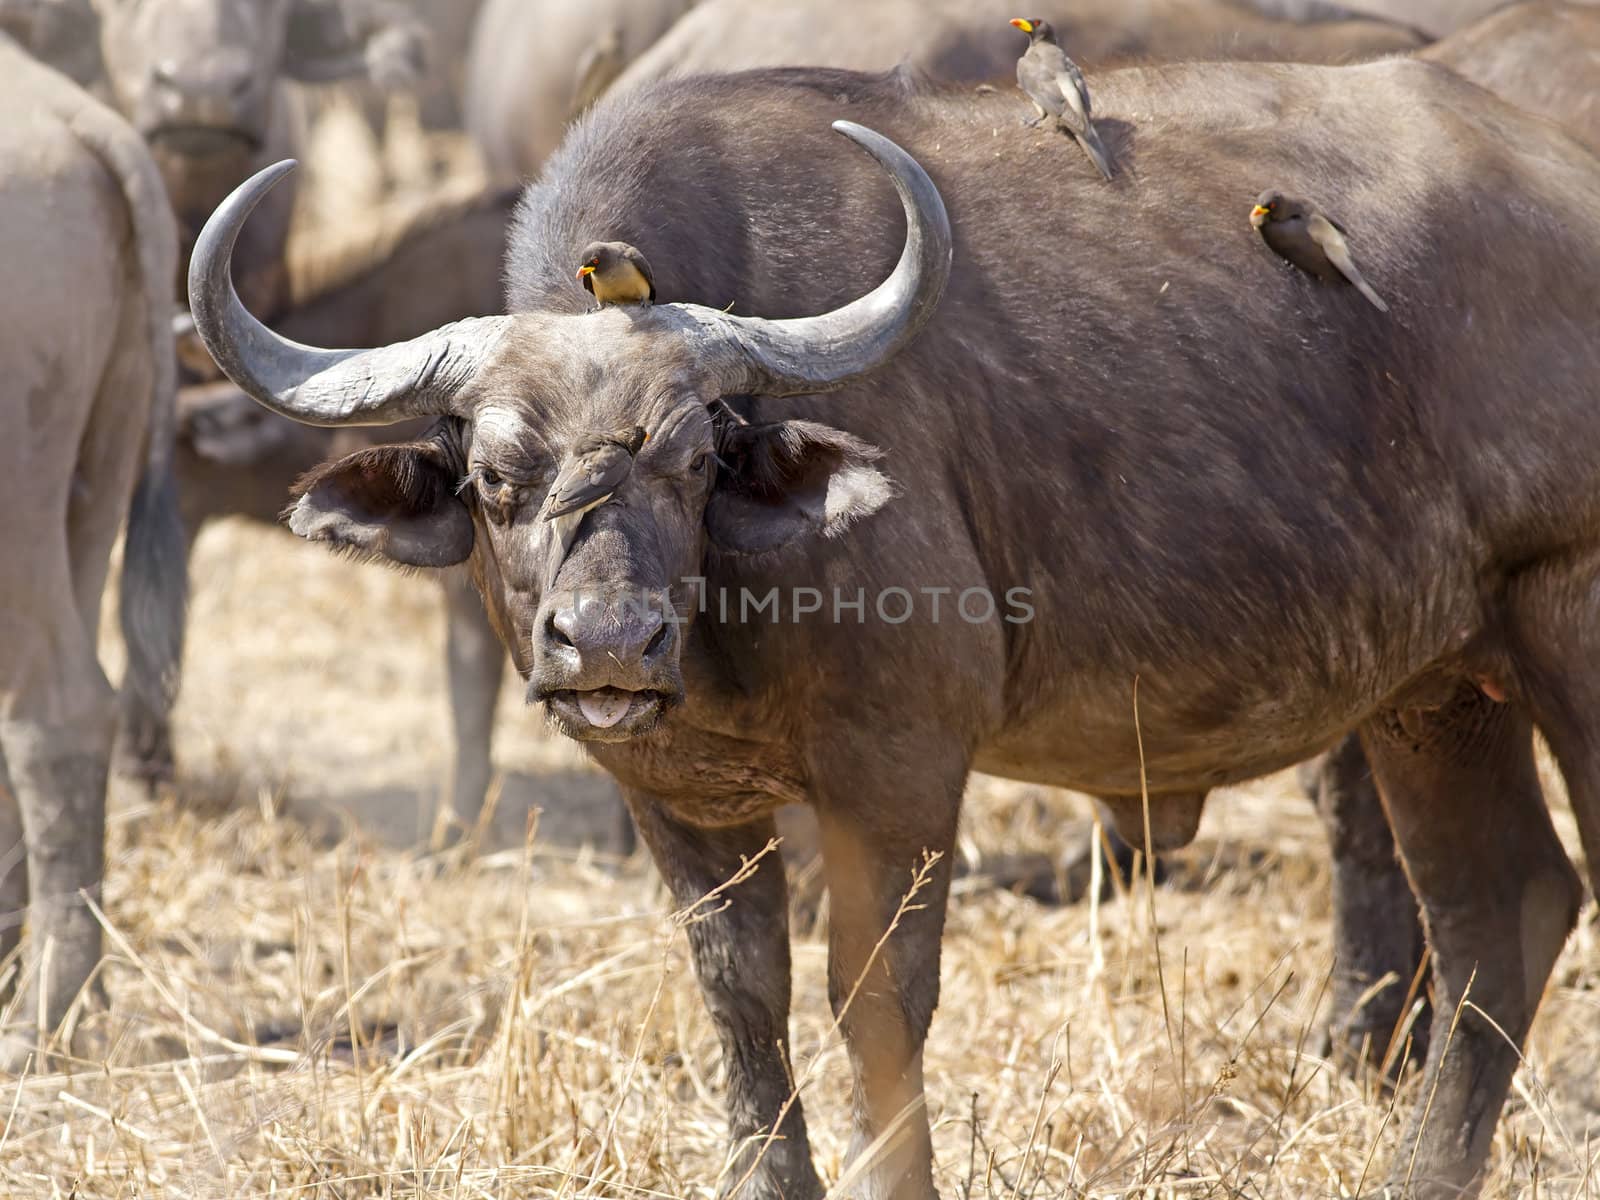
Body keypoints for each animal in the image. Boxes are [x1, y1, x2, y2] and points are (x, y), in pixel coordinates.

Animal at [190, 63, 1600, 1200]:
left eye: (695, 460)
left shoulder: (902, 767)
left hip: (1562, 622)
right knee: (1500, 913)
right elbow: (741, 996)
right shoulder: (673, 795)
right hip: (1435, 692)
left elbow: (872, 999)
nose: (608, 645)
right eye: (493, 477)